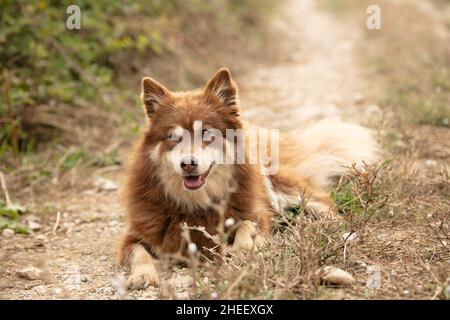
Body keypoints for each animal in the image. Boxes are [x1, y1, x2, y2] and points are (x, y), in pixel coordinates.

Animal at [118, 67, 378, 290]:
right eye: (174, 137)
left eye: (206, 134)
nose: (188, 164)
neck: (197, 203)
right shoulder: (135, 236)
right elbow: (139, 253)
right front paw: (143, 275)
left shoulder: (256, 212)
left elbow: (247, 226)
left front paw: (242, 251)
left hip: (279, 186)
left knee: (322, 202)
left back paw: (333, 226)